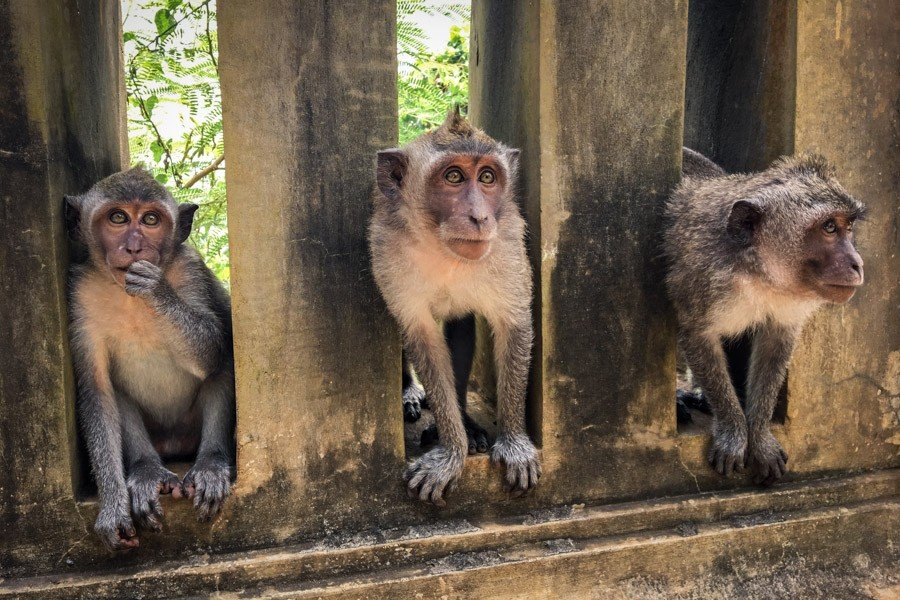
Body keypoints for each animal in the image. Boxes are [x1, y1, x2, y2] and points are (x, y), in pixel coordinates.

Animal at [67, 168, 236, 548]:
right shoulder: (81, 296)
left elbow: (212, 349)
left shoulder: (191, 269)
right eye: (118, 218)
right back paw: (146, 470)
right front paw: (113, 506)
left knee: (223, 365)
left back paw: (211, 464)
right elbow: (97, 392)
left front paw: (156, 289)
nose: (134, 247)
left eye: (150, 220)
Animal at [368, 109, 536, 506]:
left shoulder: (507, 242)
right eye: (454, 176)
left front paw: (514, 443)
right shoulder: (386, 251)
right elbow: (421, 337)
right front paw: (451, 453)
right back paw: (411, 393)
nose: (480, 217)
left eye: (487, 177)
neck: (441, 246)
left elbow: (513, 324)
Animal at [668, 148, 864, 486]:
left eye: (848, 227)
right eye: (828, 227)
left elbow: (776, 342)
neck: (757, 271)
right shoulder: (702, 279)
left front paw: (758, 435)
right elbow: (697, 334)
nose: (857, 263)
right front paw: (733, 429)